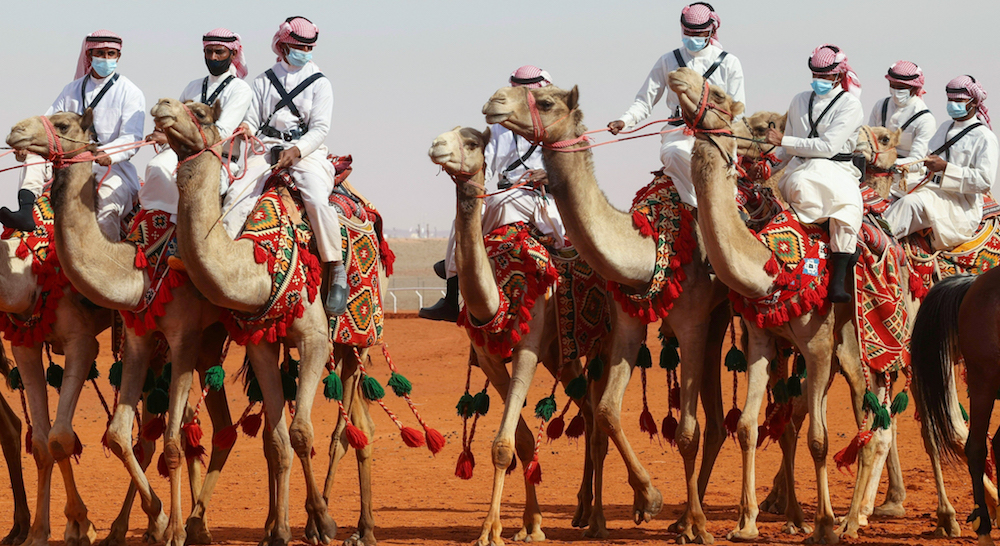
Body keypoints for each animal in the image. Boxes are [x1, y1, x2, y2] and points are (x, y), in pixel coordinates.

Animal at [5, 109, 234, 544]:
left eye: (63, 125)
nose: (15, 132)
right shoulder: (27, 341)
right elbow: (59, 440)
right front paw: (42, 532)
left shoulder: (90, 341)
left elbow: (62, 437)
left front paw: (86, 525)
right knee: (189, 429)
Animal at [428, 125, 596, 540]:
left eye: (471, 142)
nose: (437, 146)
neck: (499, 299)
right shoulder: (489, 356)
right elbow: (519, 440)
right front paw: (530, 524)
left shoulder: (528, 348)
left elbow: (503, 444)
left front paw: (490, 531)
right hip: (561, 354)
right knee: (589, 409)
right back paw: (583, 509)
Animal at [480, 85, 732, 540]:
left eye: (546, 101)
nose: (495, 101)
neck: (649, 248)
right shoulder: (627, 318)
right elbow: (607, 412)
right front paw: (650, 500)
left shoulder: (692, 321)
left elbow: (687, 432)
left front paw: (694, 524)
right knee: (717, 422)